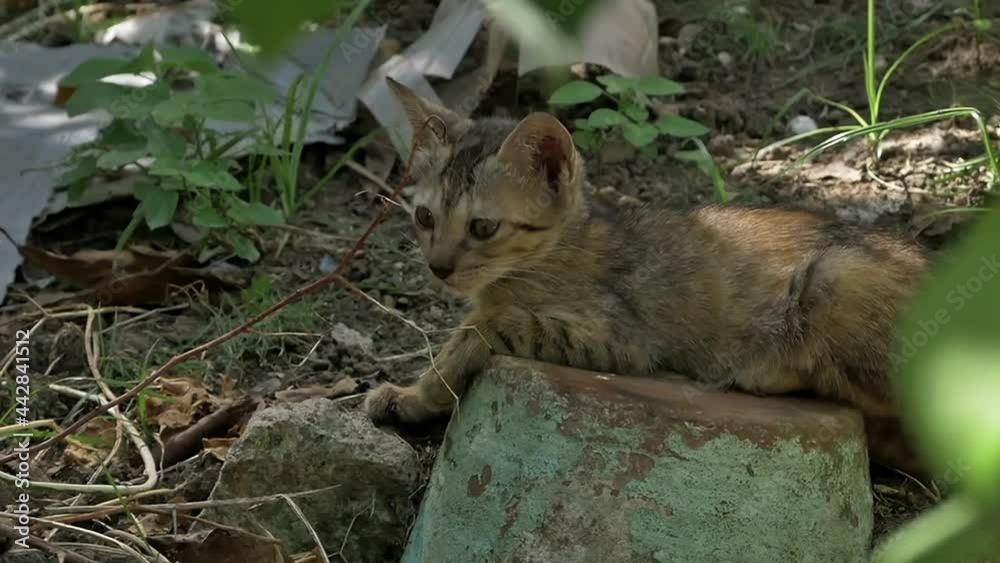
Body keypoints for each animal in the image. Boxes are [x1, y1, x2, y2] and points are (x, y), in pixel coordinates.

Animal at [365, 78, 929, 472]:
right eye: (425, 217)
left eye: (483, 227)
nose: (438, 267)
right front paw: (413, 395)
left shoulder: (617, 340)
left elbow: (479, 330)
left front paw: (420, 394)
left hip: (837, 275)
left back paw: (768, 365)